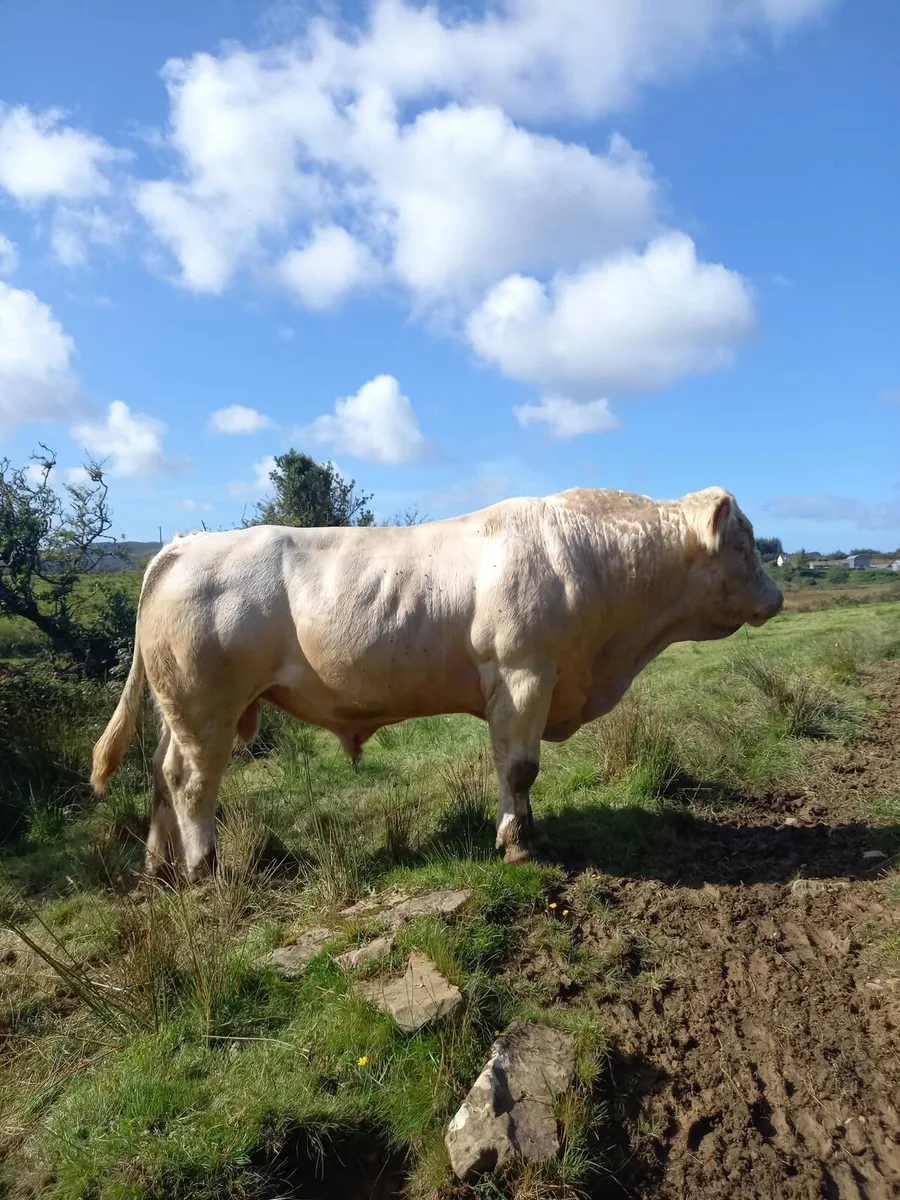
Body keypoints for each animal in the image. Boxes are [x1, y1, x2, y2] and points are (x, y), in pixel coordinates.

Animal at [91, 486, 783, 883]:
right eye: (745, 542)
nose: (776, 597)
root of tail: (184, 545)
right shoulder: (523, 673)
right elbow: (519, 767)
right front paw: (516, 843)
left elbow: (518, 768)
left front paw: (528, 830)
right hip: (206, 705)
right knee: (192, 783)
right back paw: (202, 870)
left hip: (181, 708)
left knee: (160, 774)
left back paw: (159, 867)